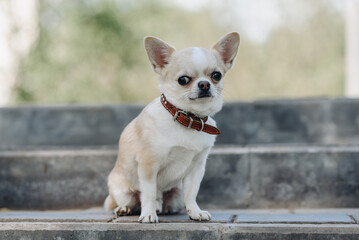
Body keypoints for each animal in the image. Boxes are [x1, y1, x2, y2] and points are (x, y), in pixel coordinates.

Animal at [103, 32, 239, 223]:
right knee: (131, 201)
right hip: (122, 191)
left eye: (216, 75)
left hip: (177, 193)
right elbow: (149, 193)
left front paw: (195, 212)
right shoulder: (148, 165)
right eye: (183, 80)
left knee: (167, 201)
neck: (189, 118)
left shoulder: (196, 169)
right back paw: (126, 209)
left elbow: (192, 193)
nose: (204, 84)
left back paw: (163, 209)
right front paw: (148, 214)